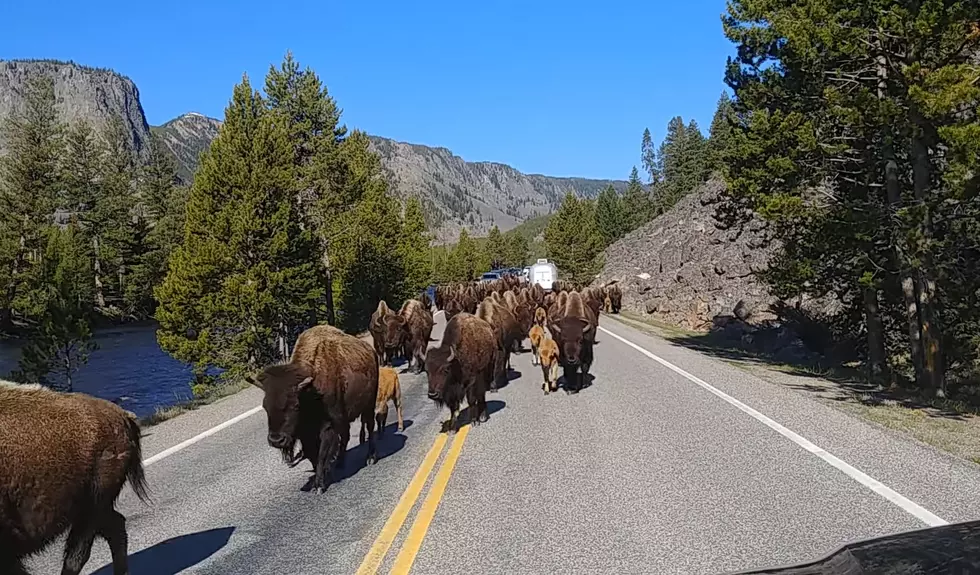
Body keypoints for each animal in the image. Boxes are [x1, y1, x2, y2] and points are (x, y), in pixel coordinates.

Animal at [247, 324, 378, 496]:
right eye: (265, 406)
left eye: (295, 405)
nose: (276, 440)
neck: (309, 391)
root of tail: (370, 350)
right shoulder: (306, 433)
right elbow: (312, 455)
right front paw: (320, 477)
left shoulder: (328, 427)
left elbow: (321, 455)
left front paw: (319, 486)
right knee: (346, 436)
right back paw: (340, 463)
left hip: (369, 404)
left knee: (369, 426)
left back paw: (370, 458)